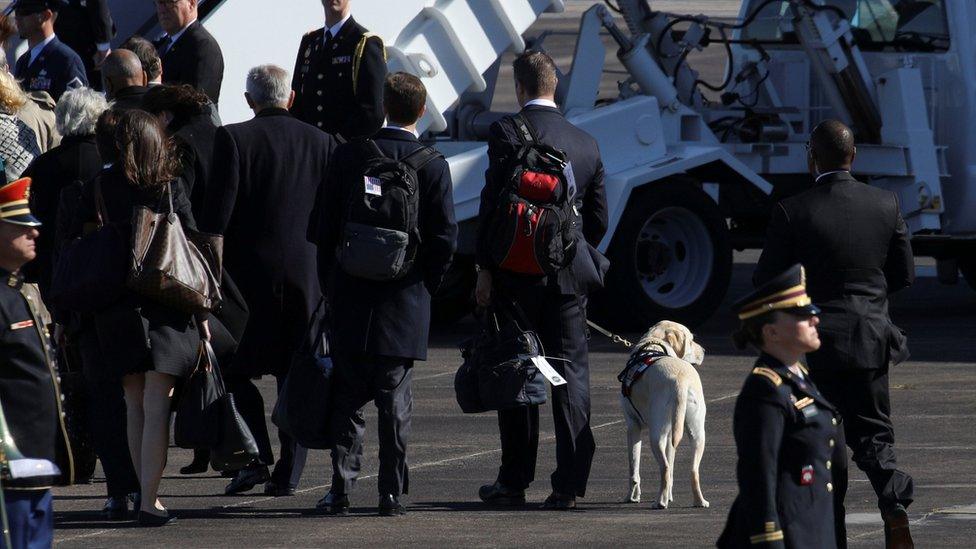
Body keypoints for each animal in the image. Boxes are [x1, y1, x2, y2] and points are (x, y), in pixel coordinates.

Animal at [620, 318, 704, 508]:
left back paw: (660, 502)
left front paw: (632, 497)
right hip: (696, 433)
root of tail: (680, 380)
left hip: (656, 435)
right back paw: (699, 501)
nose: (704, 351)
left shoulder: (633, 427)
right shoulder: (671, 434)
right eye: (691, 340)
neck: (654, 344)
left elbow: (633, 468)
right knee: (692, 470)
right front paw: (670, 496)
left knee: (664, 468)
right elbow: (672, 466)